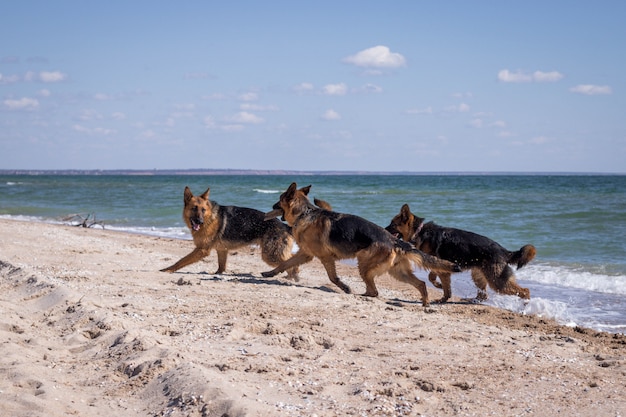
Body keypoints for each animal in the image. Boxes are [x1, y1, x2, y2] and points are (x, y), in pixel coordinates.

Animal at [161, 184, 298, 276]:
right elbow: (221, 266)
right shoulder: (222, 250)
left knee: (290, 260)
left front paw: (168, 269)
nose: (199, 221)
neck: (209, 218)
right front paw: (217, 274)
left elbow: (181, 260)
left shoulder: (202, 250)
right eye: (194, 208)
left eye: (203, 210)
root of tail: (284, 225)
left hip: (270, 255)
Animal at [258, 182, 458, 306]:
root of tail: (394, 240)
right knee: (420, 284)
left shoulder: (324, 257)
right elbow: (285, 263)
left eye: (279, 200)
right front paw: (269, 273)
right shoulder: (305, 254)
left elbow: (332, 277)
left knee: (374, 291)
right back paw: (425, 303)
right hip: (397, 272)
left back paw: (360, 295)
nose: (272, 206)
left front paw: (345, 287)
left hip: (364, 264)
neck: (304, 213)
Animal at [382, 203, 532, 300]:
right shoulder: (440, 266)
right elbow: (433, 278)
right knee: (483, 295)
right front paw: (439, 287)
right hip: (478, 276)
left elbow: (443, 285)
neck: (419, 231)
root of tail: (504, 250)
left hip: (497, 281)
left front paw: (443, 298)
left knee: (525, 292)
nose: (382, 230)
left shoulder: (441, 267)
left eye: (393, 224)